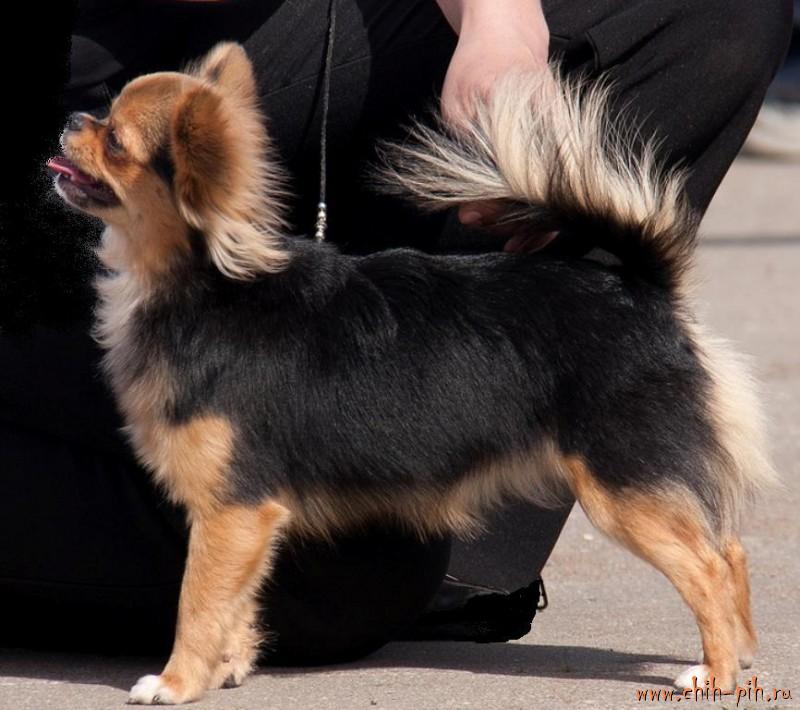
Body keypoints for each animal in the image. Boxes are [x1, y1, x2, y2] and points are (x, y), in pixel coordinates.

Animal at [49, 42, 773, 704]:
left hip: (622, 486)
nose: (72, 116)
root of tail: (641, 289)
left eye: (115, 140)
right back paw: (739, 653)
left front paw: (177, 681)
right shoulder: (249, 519)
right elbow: (238, 600)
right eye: (103, 116)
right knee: (730, 548)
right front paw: (229, 668)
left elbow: (198, 601)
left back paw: (715, 674)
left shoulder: (232, 508)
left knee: (708, 565)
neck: (204, 283)